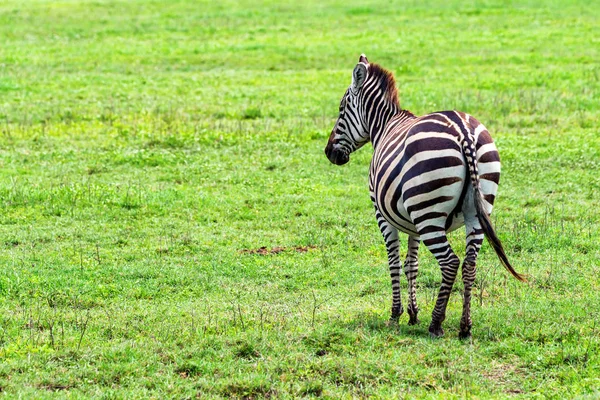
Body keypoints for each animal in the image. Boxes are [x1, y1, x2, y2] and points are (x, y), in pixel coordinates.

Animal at [324, 55, 524, 338]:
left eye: (341, 109)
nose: (329, 153)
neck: (384, 126)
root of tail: (464, 131)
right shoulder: (411, 221)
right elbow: (412, 264)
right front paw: (412, 313)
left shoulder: (383, 214)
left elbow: (394, 262)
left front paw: (396, 315)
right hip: (474, 209)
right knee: (470, 263)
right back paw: (465, 327)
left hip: (429, 213)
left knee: (450, 262)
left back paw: (436, 323)